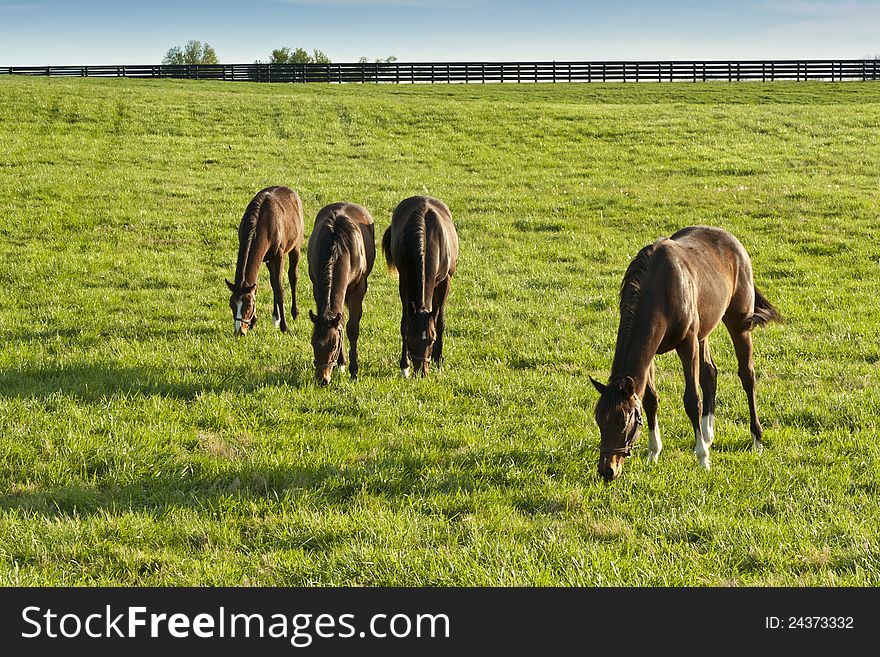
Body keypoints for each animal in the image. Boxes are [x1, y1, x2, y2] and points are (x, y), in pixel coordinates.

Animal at [225, 186, 304, 336]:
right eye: (231, 304)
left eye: (249, 305)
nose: (240, 331)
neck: (263, 223)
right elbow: (262, 287)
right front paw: (253, 323)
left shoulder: (278, 257)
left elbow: (280, 290)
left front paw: (285, 327)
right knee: (273, 282)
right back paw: (275, 316)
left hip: (295, 247)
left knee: (293, 276)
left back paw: (294, 313)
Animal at [306, 201, 374, 384]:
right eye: (313, 343)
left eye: (334, 345)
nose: (322, 379)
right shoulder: (317, 286)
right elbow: (341, 321)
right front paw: (342, 364)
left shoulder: (358, 289)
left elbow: (352, 328)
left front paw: (354, 371)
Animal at [380, 195, 458, 376]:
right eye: (412, 338)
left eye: (432, 339)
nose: (422, 371)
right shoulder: (404, 281)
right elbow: (405, 322)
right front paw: (404, 365)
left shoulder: (445, 281)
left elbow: (440, 321)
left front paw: (439, 359)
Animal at [592, 226, 784, 482]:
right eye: (599, 420)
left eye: (624, 422)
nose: (607, 470)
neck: (660, 288)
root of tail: (732, 240)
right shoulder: (651, 352)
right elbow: (650, 399)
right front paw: (654, 453)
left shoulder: (688, 344)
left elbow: (692, 400)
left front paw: (702, 458)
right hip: (705, 333)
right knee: (710, 374)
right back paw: (708, 432)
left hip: (738, 324)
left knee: (747, 376)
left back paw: (756, 439)